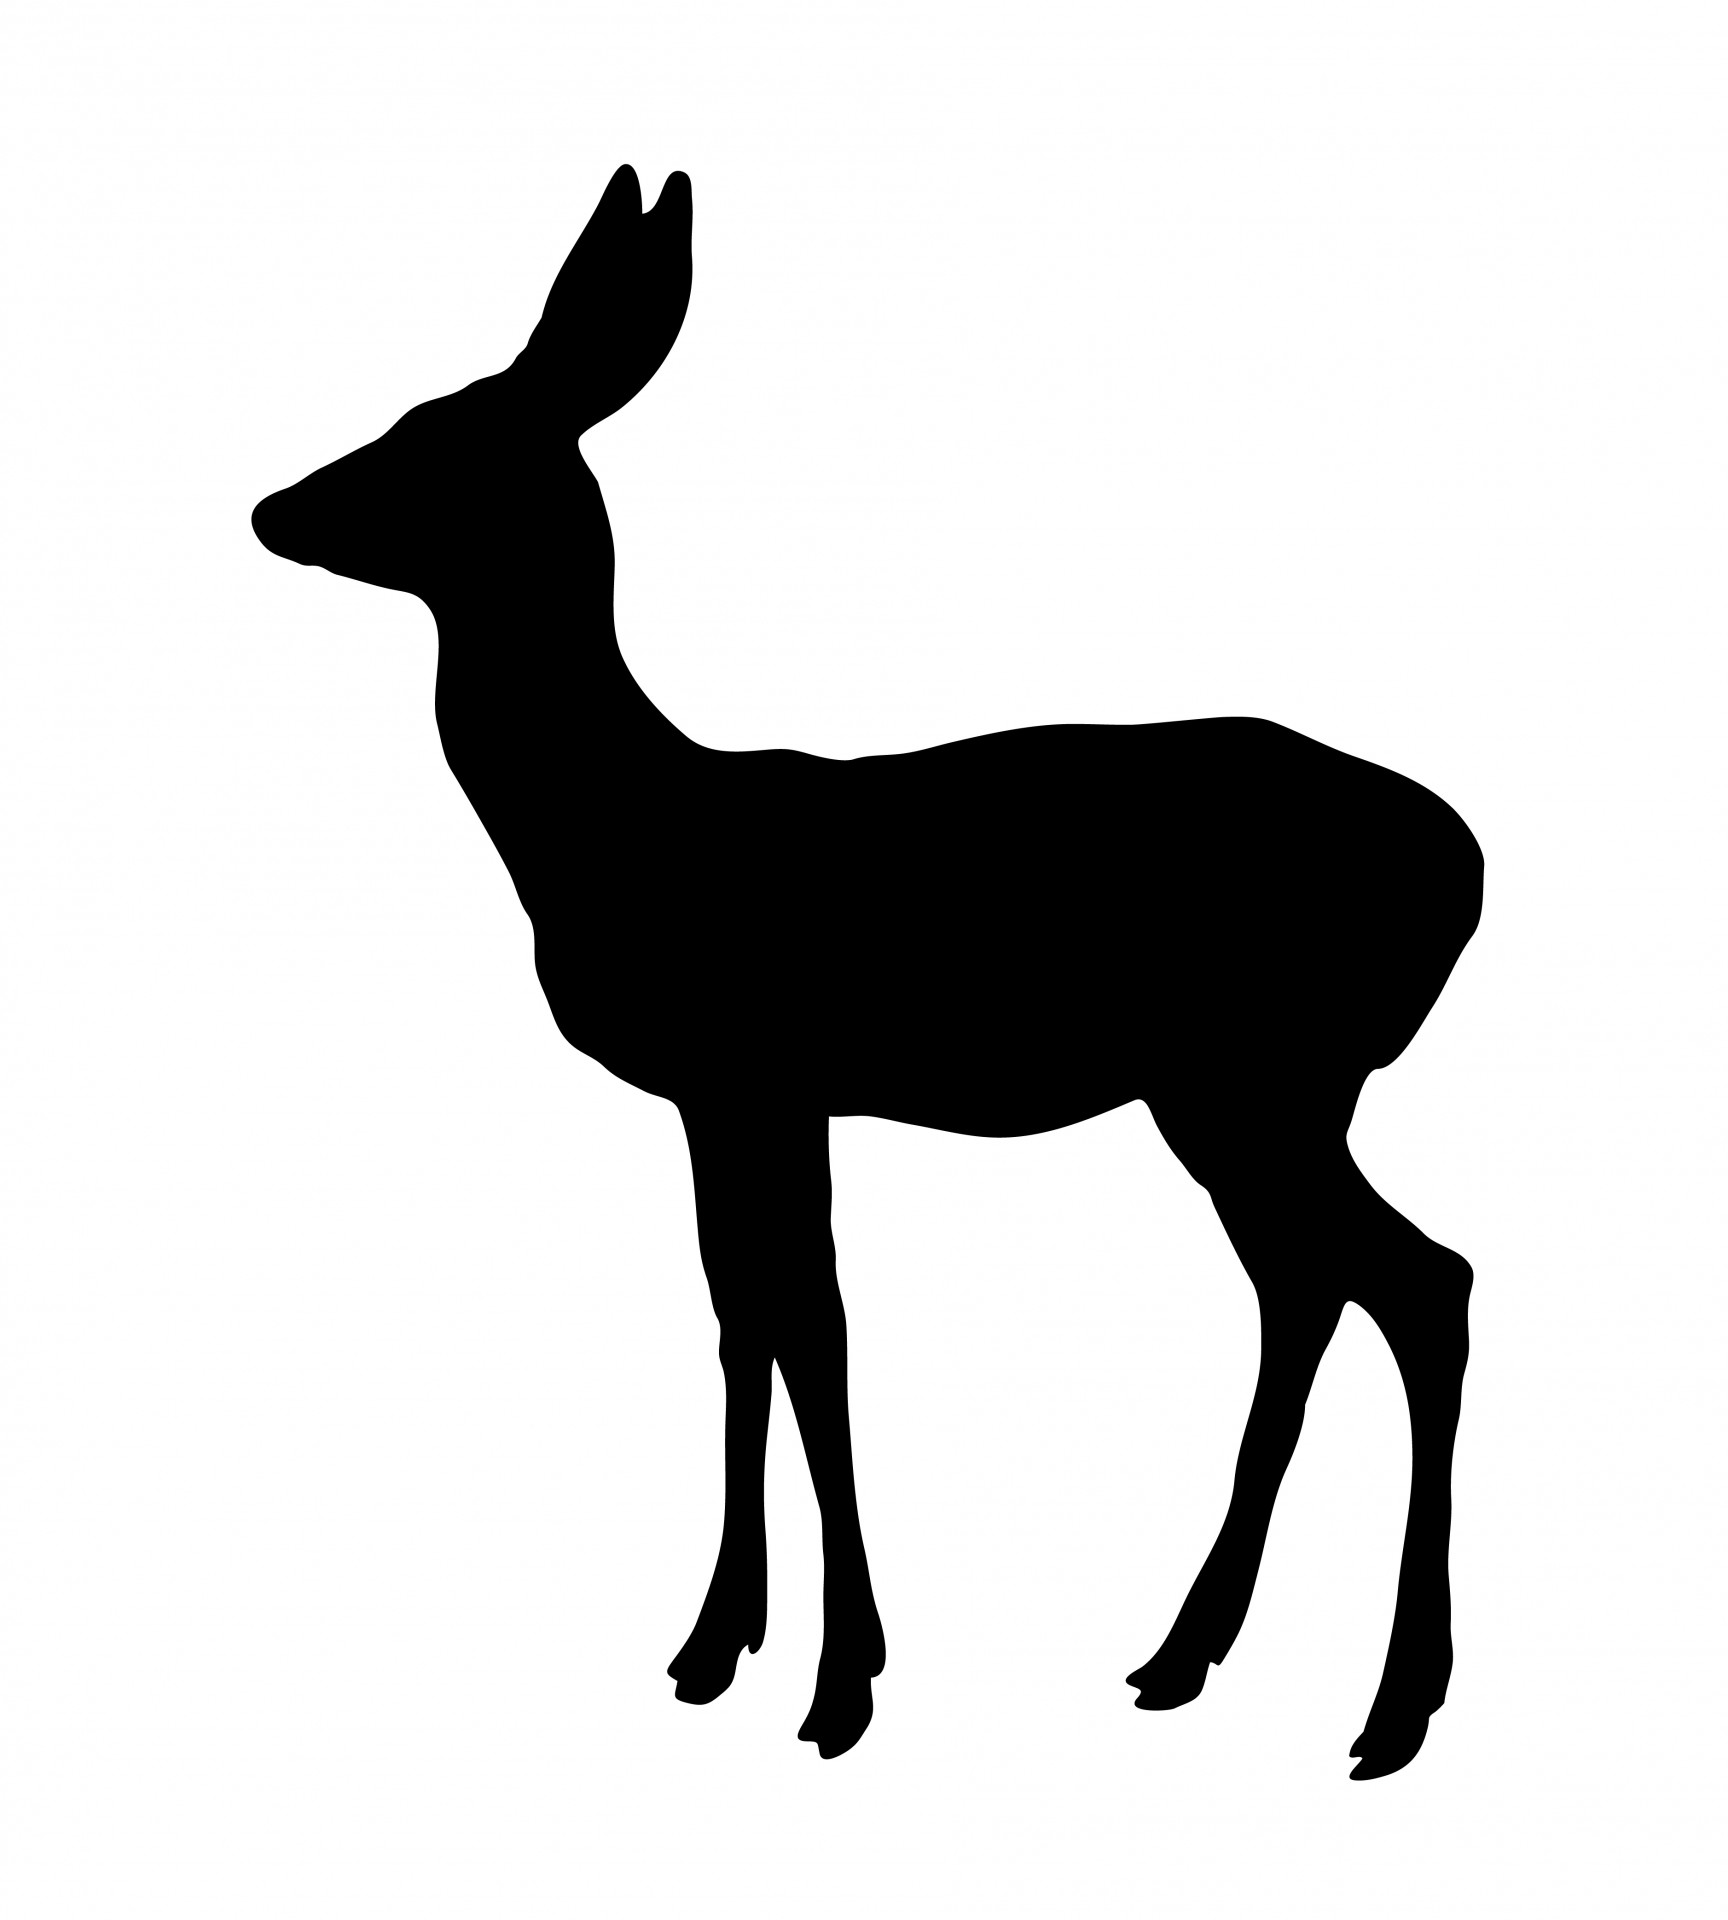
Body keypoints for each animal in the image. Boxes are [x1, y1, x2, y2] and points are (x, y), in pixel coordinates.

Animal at [252, 165, 1483, 1780]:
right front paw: (719, 1648)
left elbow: (815, 1330)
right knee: (1312, 1290)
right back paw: (1182, 1656)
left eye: (436, 435)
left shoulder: (762, 1073)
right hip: (1243, 1097)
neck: (624, 827)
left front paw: (838, 1687)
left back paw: (1391, 1708)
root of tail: (1467, 867)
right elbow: (746, 1322)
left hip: (1261, 1072)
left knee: (1421, 1282)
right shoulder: (728, 1099)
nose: (273, 507)